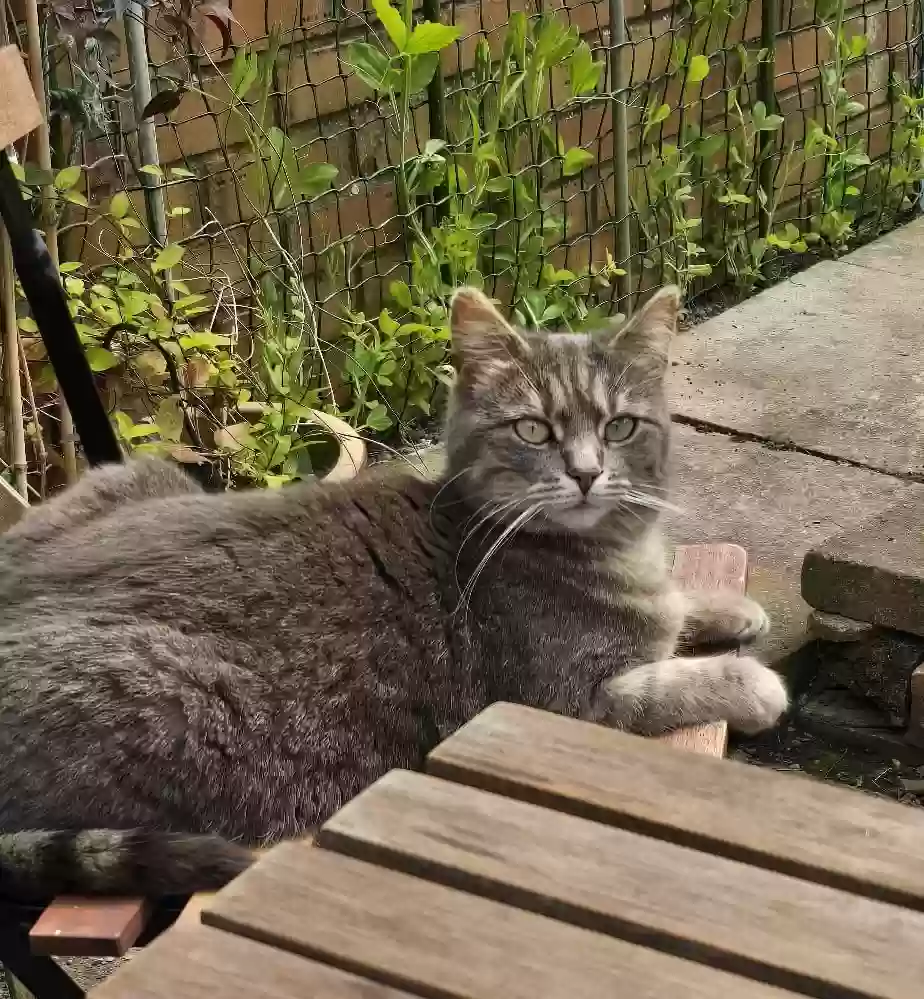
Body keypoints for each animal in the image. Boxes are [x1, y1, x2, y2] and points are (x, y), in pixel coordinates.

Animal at [0, 288, 788, 900]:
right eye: (533, 428)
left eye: (620, 425)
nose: (588, 473)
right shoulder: (565, 704)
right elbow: (679, 682)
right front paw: (751, 681)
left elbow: (677, 610)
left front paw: (725, 608)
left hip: (147, 475)